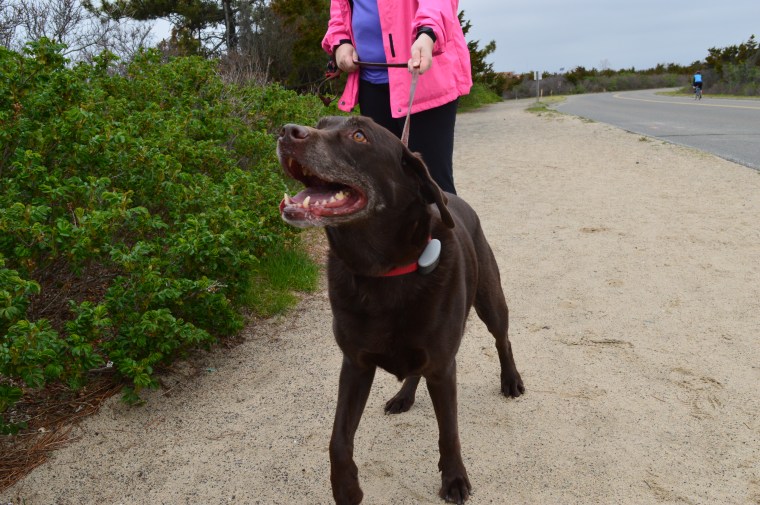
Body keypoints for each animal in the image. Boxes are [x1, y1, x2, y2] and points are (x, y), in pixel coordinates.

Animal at [277, 115, 524, 504]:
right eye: (321, 123)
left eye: (359, 135)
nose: (287, 131)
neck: (383, 274)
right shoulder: (356, 365)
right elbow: (337, 440)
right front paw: (346, 488)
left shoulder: (442, 367)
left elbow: (449, 432)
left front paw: (454, 479)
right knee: (413, 371)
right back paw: (404, 396)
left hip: (491, 300)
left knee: (503, 340)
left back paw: (511, 380)